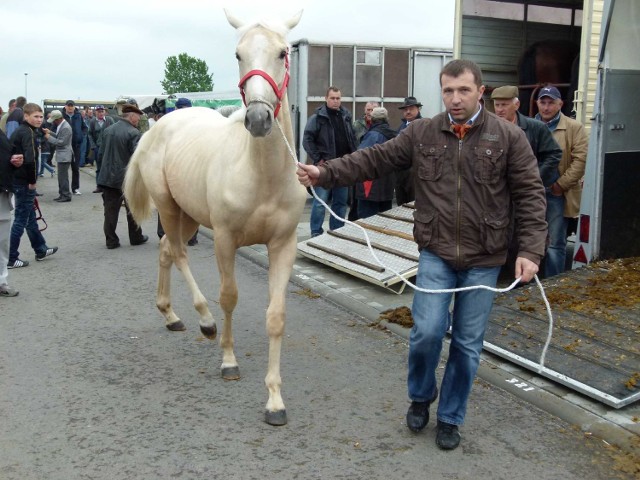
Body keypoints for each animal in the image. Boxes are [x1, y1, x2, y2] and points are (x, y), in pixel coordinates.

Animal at [124, 9, 308, 426]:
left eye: (283, 52)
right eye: (238, 53)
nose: (258, 119)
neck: (263, 175)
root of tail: (157, 127)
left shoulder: (283, 245)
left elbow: (277, 316)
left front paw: (275, 400)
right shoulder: (225, 239)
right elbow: (228, 297)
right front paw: (228, 360)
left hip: (189, 214)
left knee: (165, 249)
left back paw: (170, 314)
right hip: (169, 207)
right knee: (178, 253)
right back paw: (203, 321)